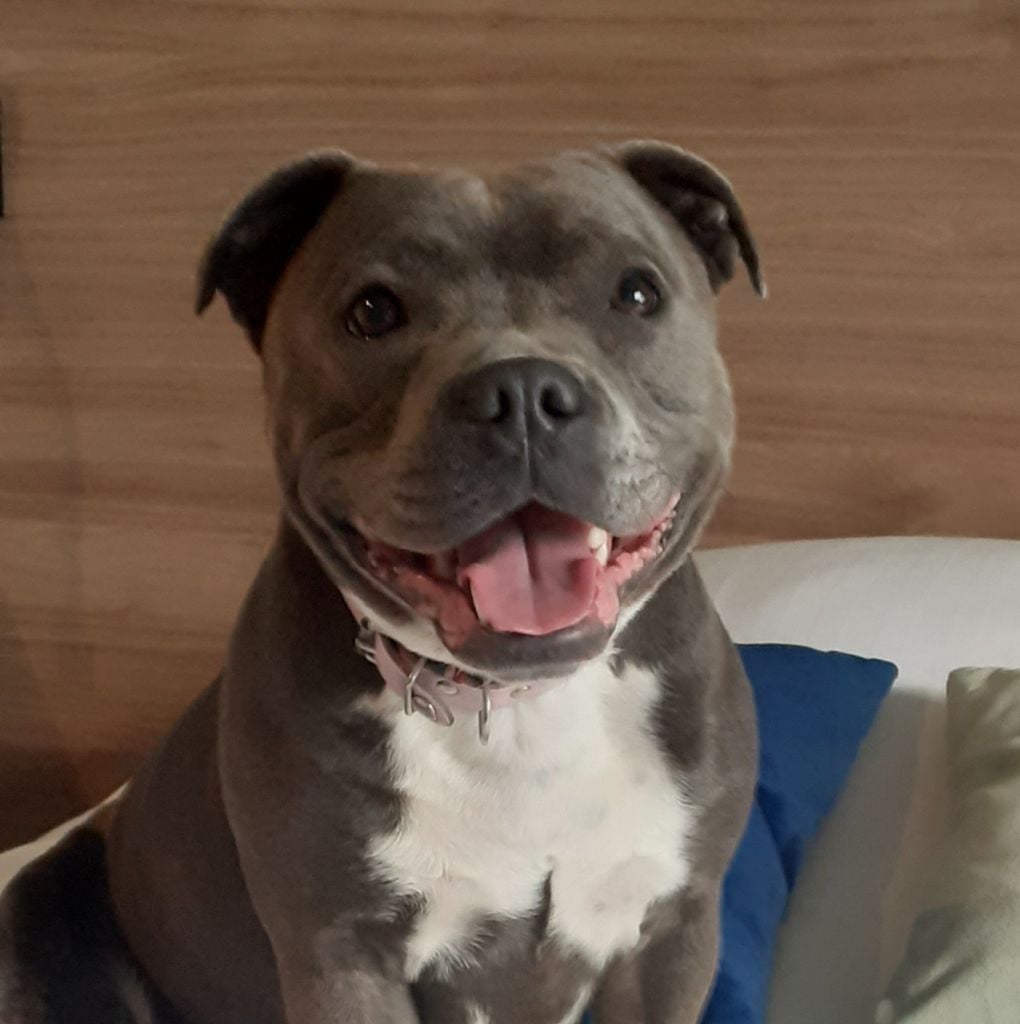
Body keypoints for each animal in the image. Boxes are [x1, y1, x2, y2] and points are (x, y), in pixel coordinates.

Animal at [0, 141, 762, 1024]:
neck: (513, 709)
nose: (522, 389)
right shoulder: (341, 956)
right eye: (372, 311)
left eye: (636, 292)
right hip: (42, 900)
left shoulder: (674, 932)